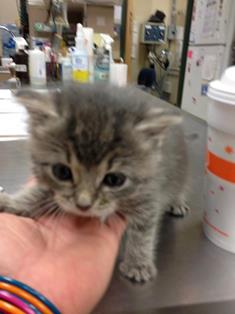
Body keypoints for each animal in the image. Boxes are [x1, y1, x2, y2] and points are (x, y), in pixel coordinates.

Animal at [0, 83, 189, 282]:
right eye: (62, 172)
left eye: (114, 180)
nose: (83, 205)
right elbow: (39, 193)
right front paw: (13, 202)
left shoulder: (148, 193)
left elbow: (143, 229)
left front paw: (138, 263)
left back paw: (178, 202)